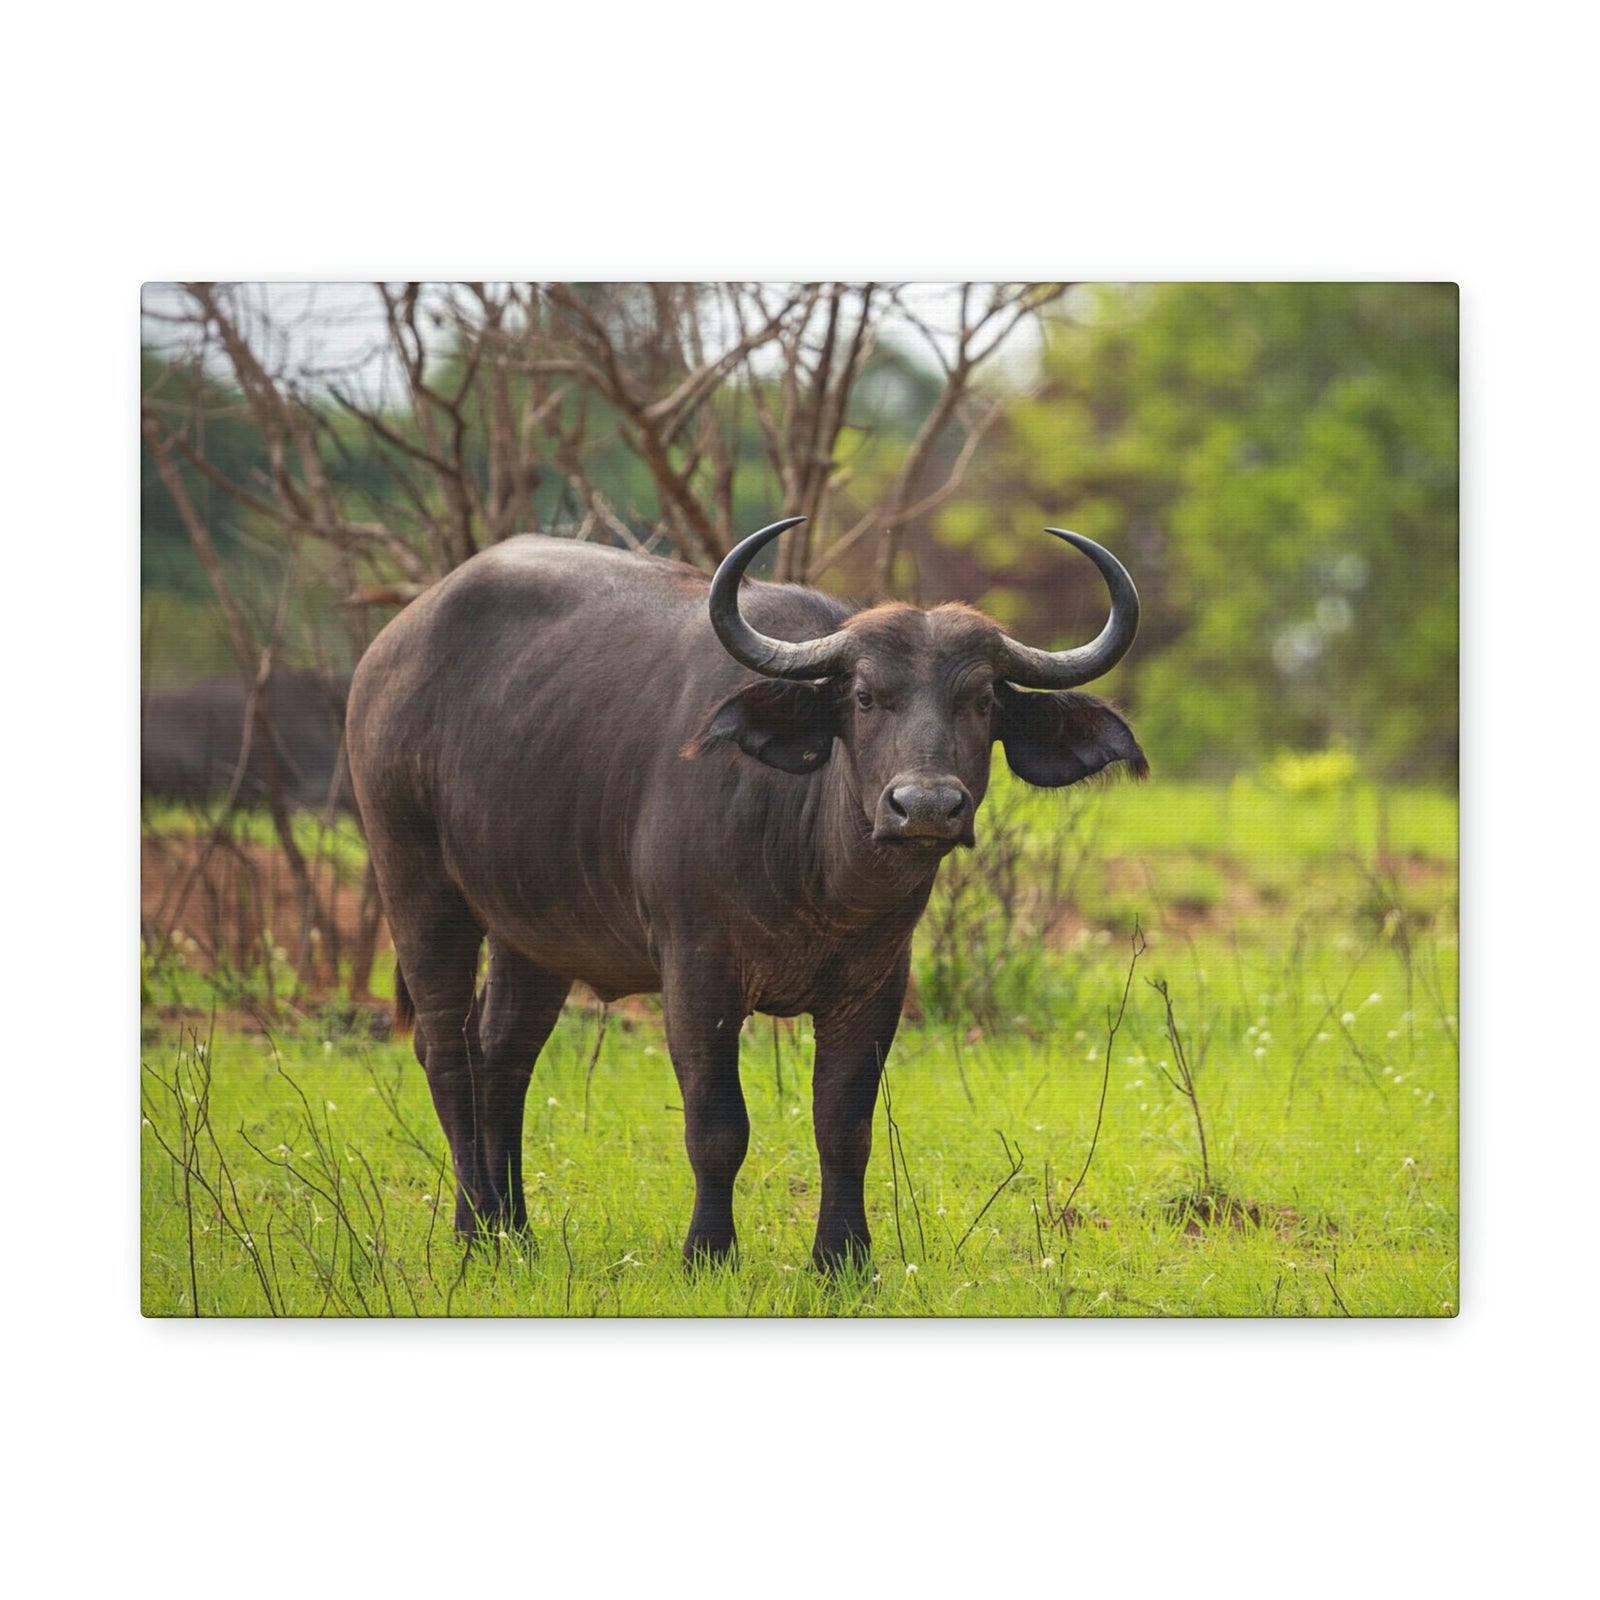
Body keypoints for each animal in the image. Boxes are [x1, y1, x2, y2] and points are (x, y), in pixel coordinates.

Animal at [345, 518, 1144, 1268]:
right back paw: (477, 1229)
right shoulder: (696, 974)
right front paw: (708, 1251)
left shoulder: (877, 984)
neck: (819, 880)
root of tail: (386, 652)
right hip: (417, 886)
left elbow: (845, 1126)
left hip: (532, 935)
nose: (923, 807)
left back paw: (510, 1231)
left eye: (980, 702)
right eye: (864, 696)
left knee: (502, 1055)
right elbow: (717, 1125)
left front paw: (842, 1259)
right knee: (446, 1050)